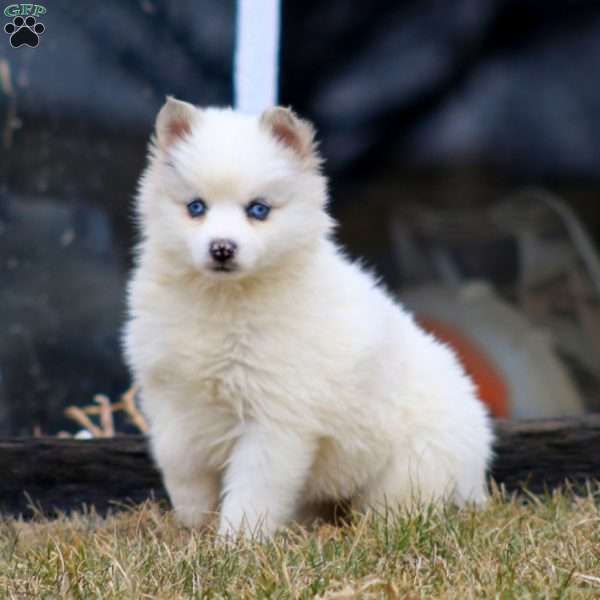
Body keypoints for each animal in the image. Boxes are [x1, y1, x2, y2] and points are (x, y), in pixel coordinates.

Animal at [124, 98, 494, 540]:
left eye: (259, 210)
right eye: (196, 207)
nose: (222, 248)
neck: (224, 300)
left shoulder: (275, 419)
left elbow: (253, 489)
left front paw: (235, 543)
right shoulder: (170, 400)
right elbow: (183, 470)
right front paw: (195, 527)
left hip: (412, 468)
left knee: (397, 506)